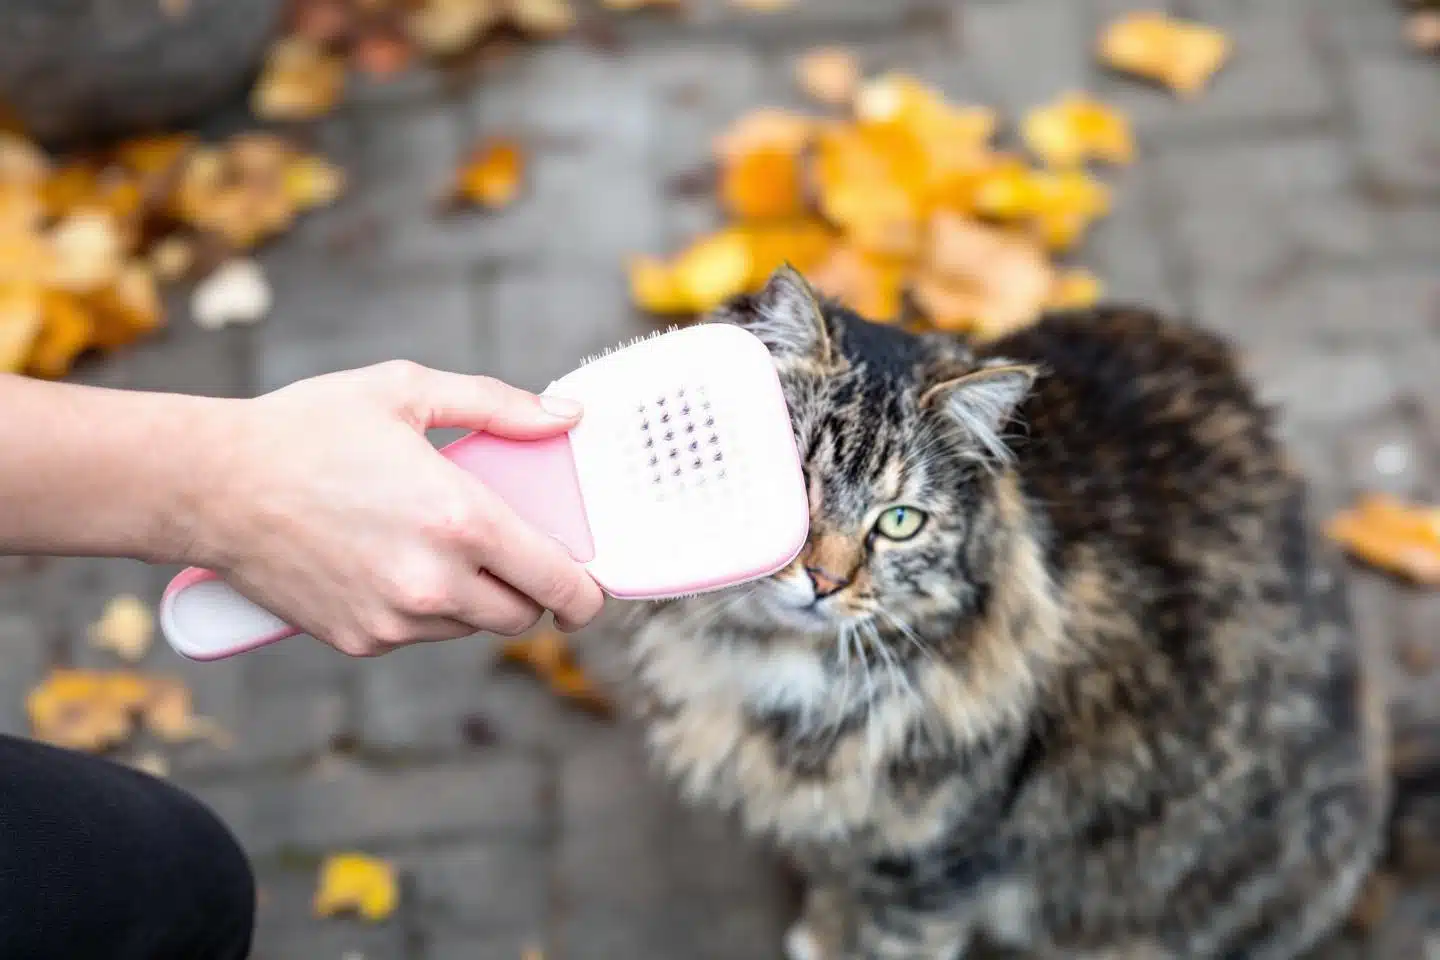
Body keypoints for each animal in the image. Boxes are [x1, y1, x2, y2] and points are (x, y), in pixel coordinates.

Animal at [621, 266, 1391, 960]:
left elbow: (885, 938)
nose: (824, 580)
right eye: (792, 481)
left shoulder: (935, 863)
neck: (770, 668)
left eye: (899, 522)